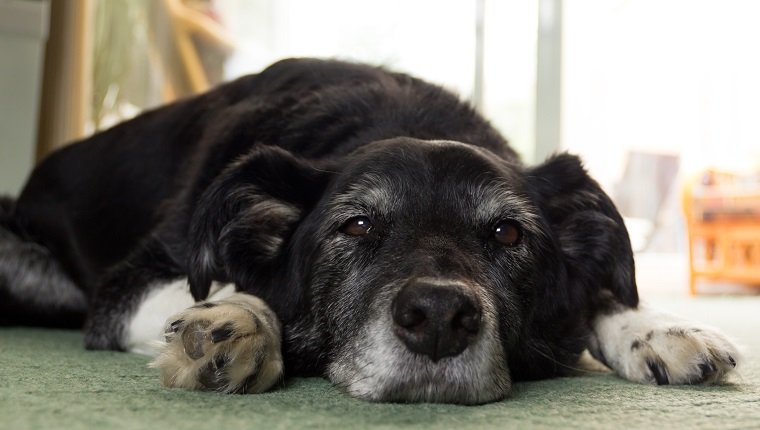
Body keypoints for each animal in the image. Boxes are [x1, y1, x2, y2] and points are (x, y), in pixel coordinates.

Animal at [0, 58, 736, 404]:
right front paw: (233, 325)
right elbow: (246, 289)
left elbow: (600, 296)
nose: (438, 319)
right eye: (354, 225)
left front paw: (659, 327)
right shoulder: (125, 289)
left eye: (507, 235)